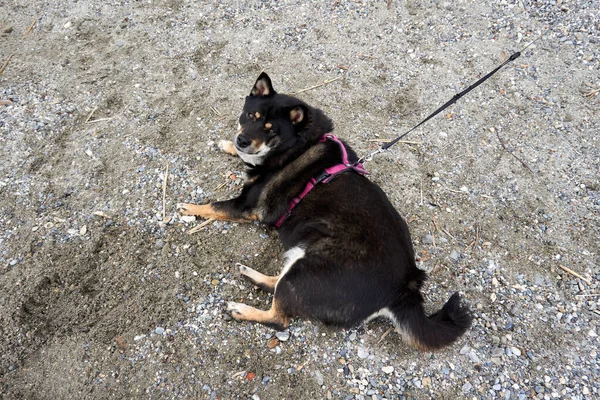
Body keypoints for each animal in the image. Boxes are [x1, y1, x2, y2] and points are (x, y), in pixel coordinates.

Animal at [176, 72, 472, 350]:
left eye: (272, 131)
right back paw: (249, 273)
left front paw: (189, 207)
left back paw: (241, 309)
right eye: (251, 115)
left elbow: (214, 206)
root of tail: (405, 288)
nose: (243, 139)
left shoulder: (247, 206)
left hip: (306, 271)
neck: (298, 146)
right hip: (300, 258)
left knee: (279, 318)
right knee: (276, 283)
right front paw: (228, 145)